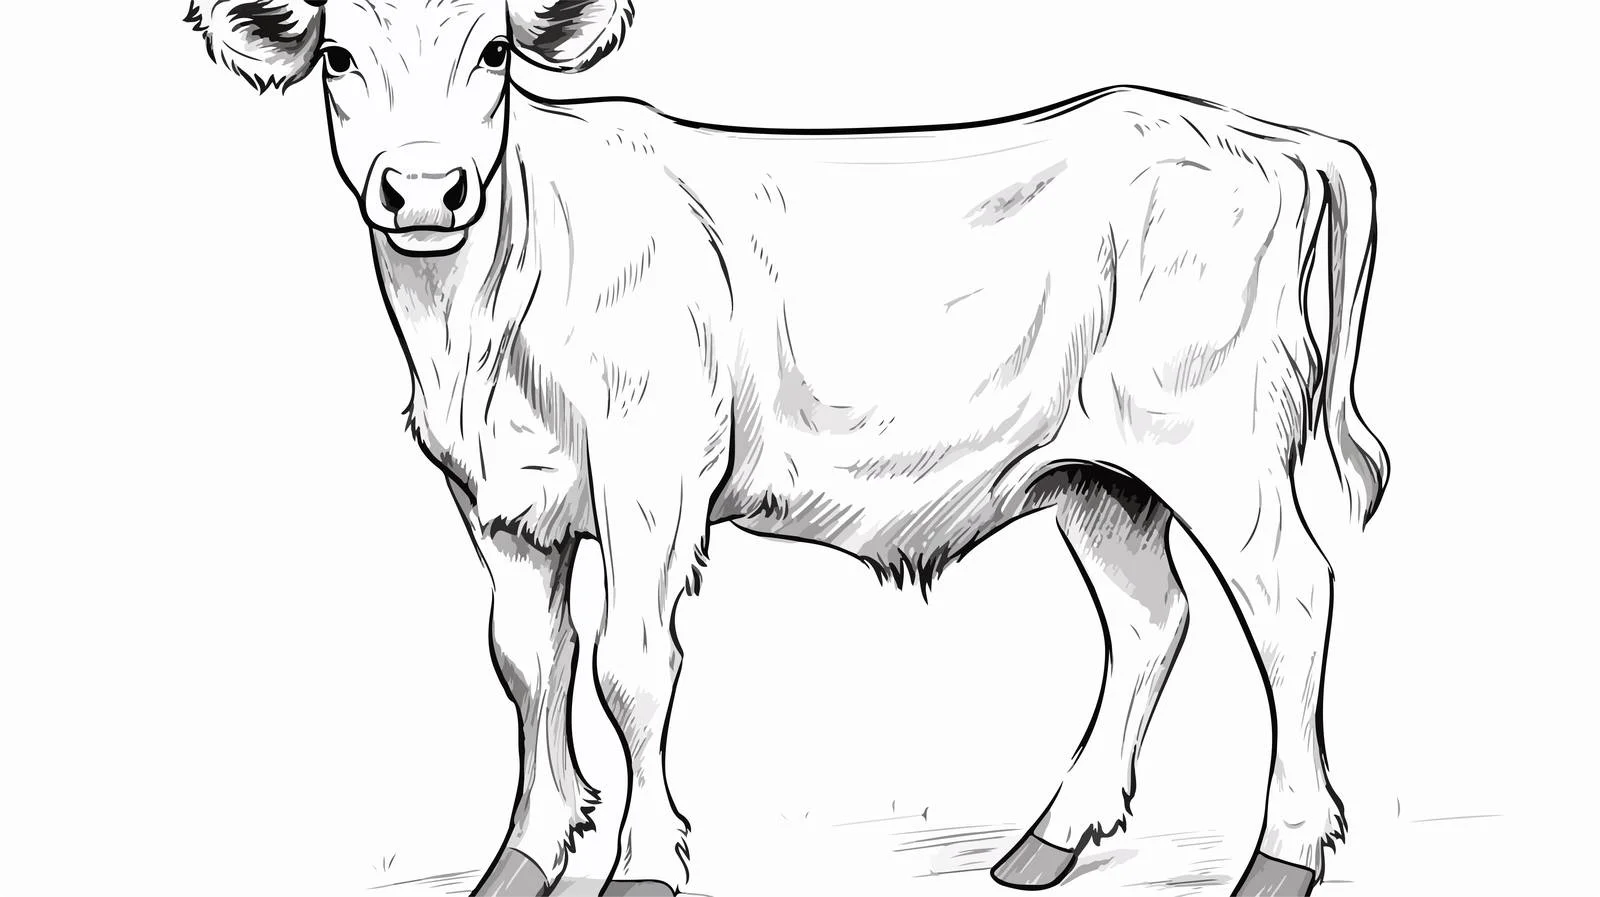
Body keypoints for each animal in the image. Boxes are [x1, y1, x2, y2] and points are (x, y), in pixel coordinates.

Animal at [188, 2, 1389, 895]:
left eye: (492, 53)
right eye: (338, 55)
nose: (427, 190)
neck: (480, 322)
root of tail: (1270, 140)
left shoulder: (652, 472)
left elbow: (630, 664)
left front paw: (644, 862)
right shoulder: (501, 500)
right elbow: (528, 663)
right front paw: (525, 857)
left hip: (1217, 447)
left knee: (1292, 601)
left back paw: (1283, 853)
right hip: (1096, 473)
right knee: (1150, 618)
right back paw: (1050, 840)